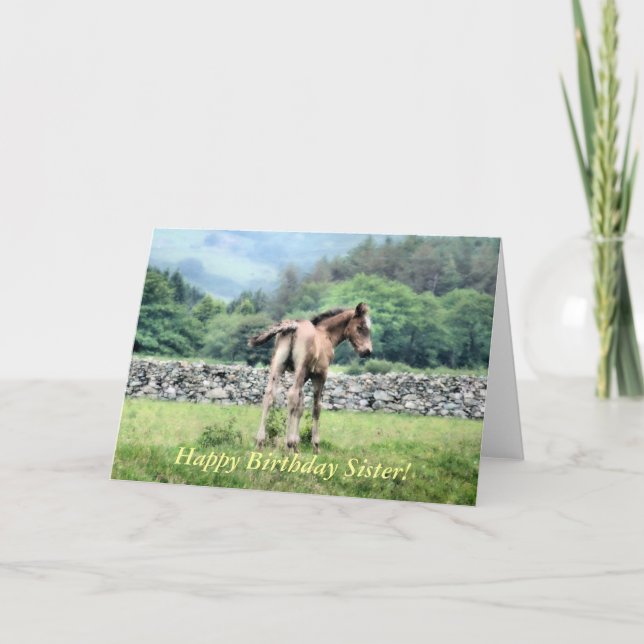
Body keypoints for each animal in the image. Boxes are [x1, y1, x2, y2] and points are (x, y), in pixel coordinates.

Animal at [248, 303, 373, 453]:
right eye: (360, 327)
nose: (367, 351)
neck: (326, 335)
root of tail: (293, 326)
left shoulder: (305, 376)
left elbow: (300, 407)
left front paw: (296, 445)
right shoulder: (319, 375)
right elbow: (316, 407)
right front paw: (314, 445)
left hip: (277, 366)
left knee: (269, 395)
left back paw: (260, 442)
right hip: (300, 368)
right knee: (291, 395)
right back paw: (287, 445)